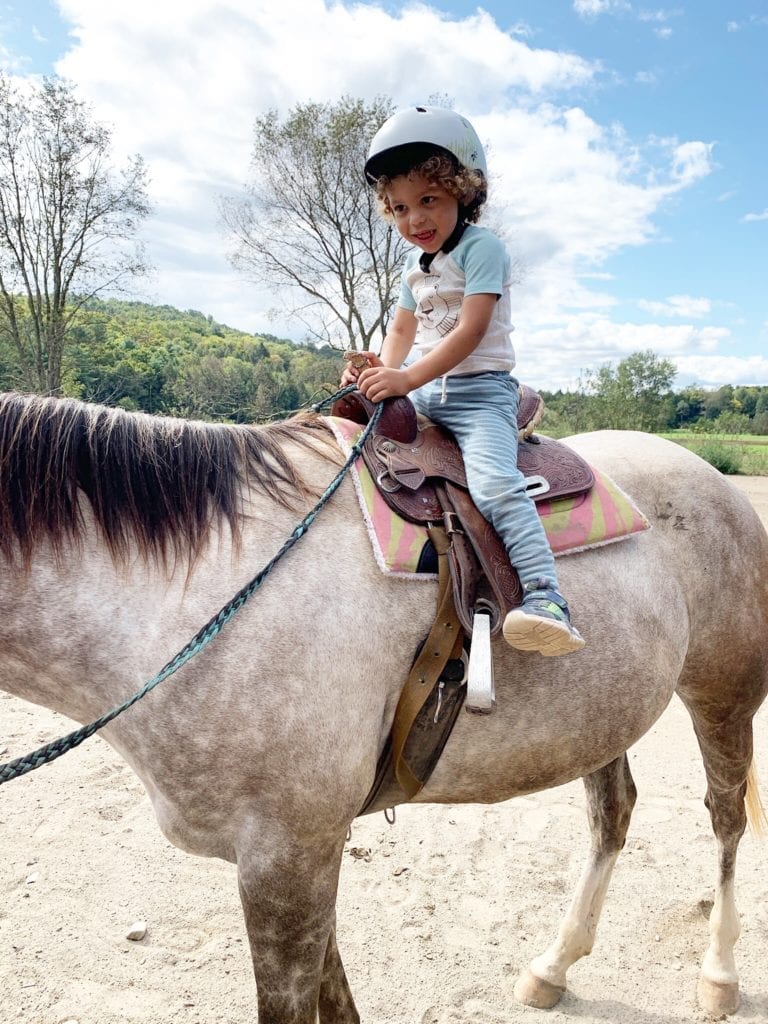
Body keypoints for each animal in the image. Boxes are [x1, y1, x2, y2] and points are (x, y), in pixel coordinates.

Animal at [0, 387, 765, 1019]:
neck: (200, 589)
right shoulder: (304, 856)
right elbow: (336, 999)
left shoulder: (285, 859)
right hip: (603, 717)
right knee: (613, 815)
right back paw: (553, 967)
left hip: (723, 698)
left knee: (726, 820)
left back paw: (719, 975)